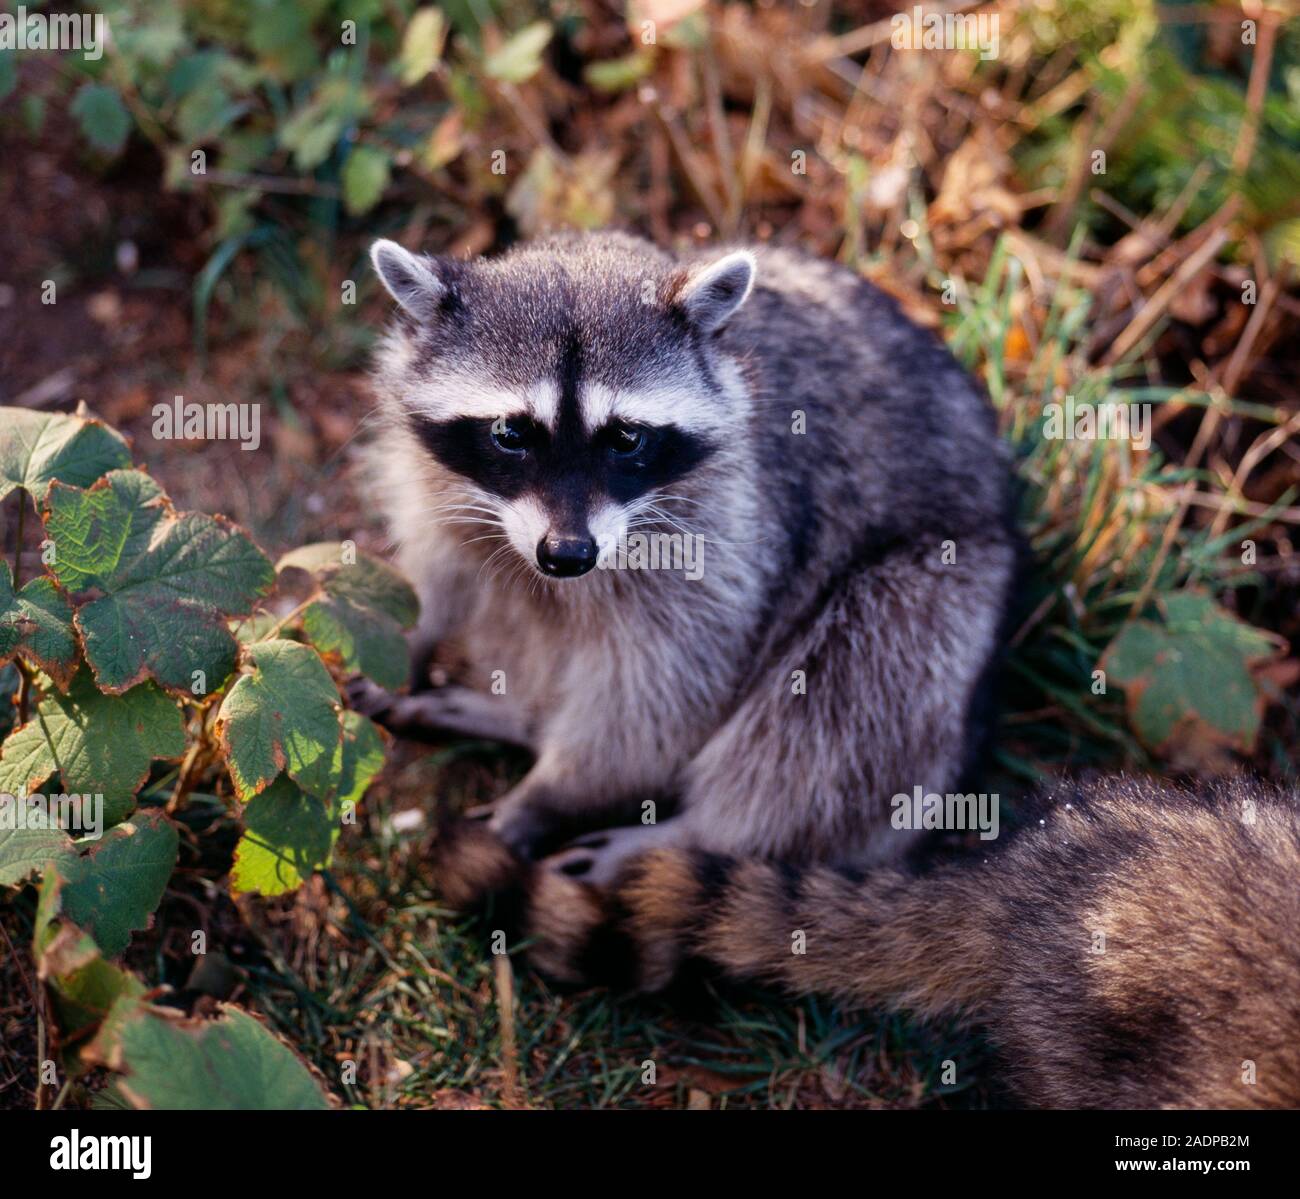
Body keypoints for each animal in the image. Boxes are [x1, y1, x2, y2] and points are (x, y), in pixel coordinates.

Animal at [362, 231, 1016, 878]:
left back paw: (689, 836)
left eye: (627, 438)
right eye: (509, 433)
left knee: (852, 692)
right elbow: (436, 570)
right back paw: (521, 716)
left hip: (946, 595)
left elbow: (664, 692)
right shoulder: (436, 481)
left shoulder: (729, 530)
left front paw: (550, 795)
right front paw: (406, 641)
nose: (568, 555)